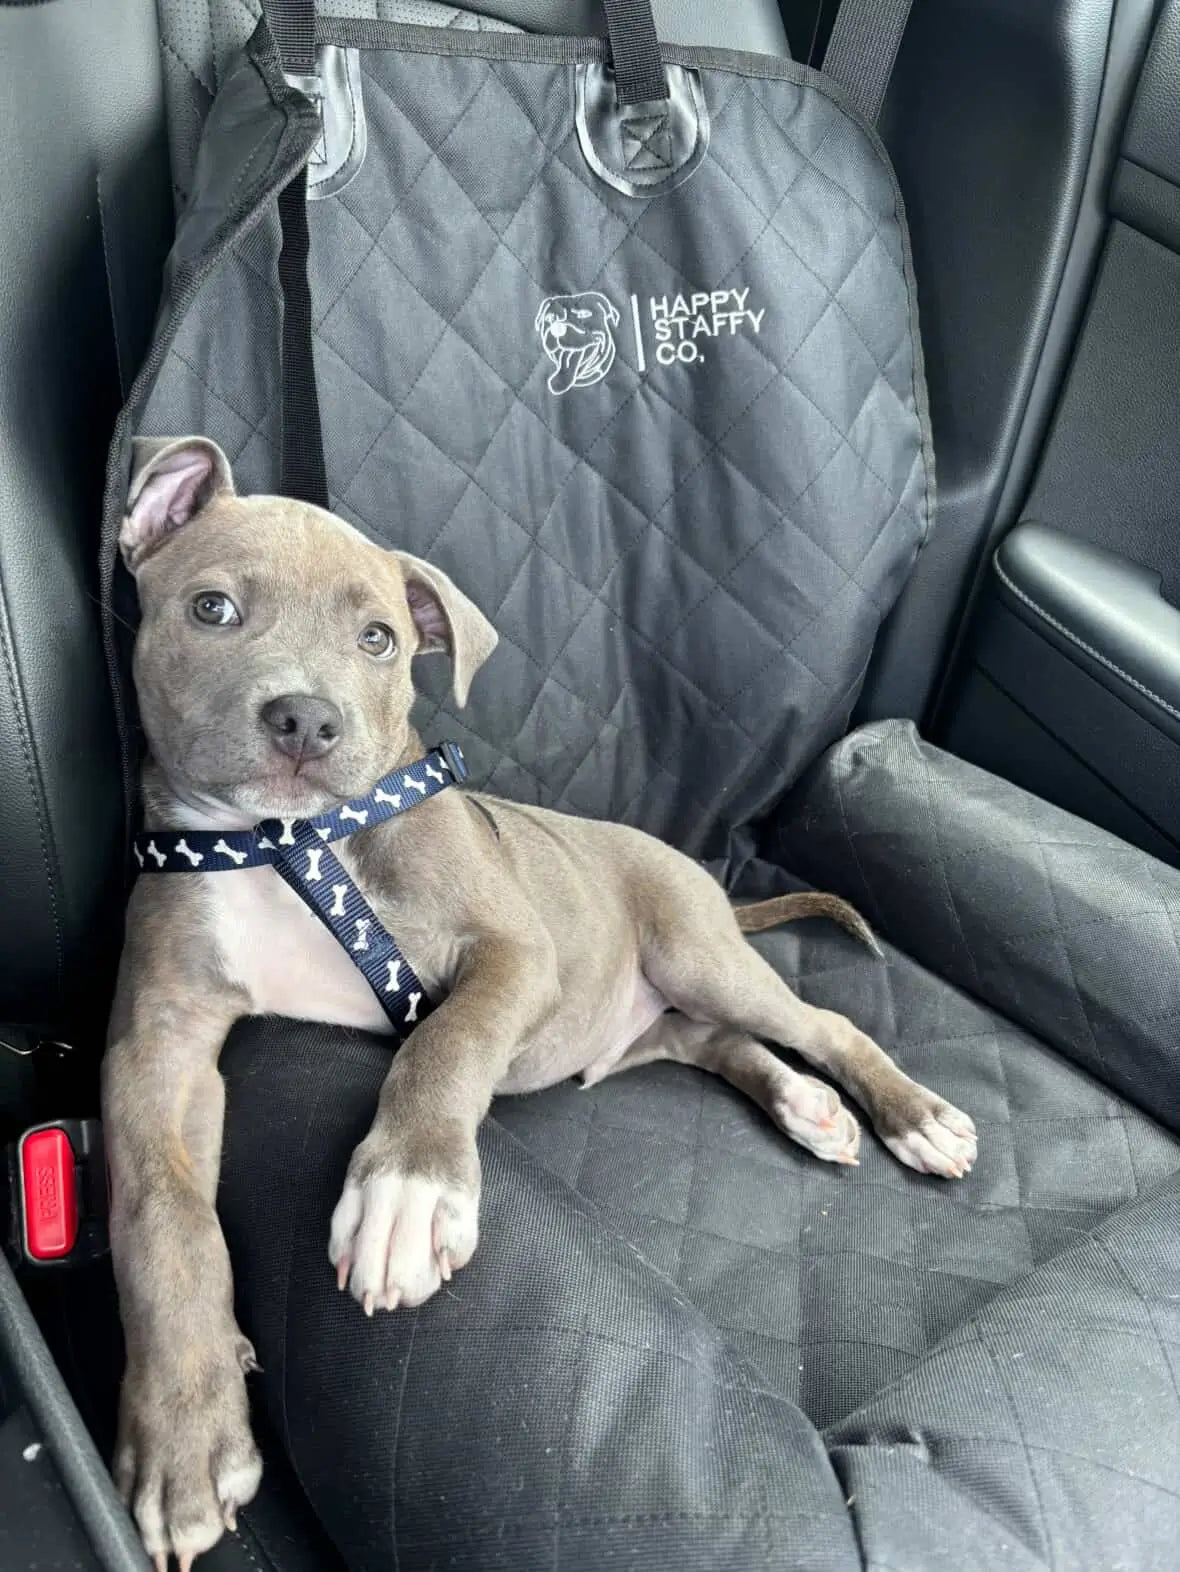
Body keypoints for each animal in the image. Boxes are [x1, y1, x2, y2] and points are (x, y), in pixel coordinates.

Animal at [103, 435, 977, 1568]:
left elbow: (442, 1046)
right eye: (212, 609)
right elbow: (158, 1214)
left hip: (697, 952)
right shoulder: (158, 1048)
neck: (289, 845)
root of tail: (702, 884)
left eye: (379, 640)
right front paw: (184, 1437)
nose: (305, 719)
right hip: (650, 1014)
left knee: (820, 1026)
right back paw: (805, 1107)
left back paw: (911, 1118)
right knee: (716, 1044)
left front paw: (406, 1194)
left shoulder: (515, 955)